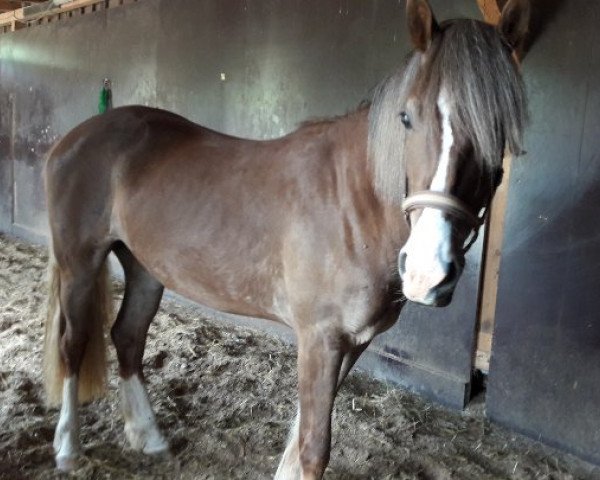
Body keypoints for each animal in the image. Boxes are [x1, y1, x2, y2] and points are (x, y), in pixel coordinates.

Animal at [42, 1, 528, 478]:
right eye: (406, 118)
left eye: (499, 132)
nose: (427, 273)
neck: (352, 202)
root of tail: (77, 136)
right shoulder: (320, 338)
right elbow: (313, 448)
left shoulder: (352, 342)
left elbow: (297, 443)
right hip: (79, 264)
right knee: (73, 344)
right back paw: (67, 448)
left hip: (145, 267)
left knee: (127, 336)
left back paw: (147, 436)